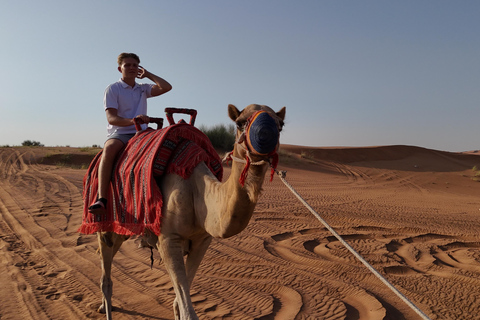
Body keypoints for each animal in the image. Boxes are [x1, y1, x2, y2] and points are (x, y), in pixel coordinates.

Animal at [95, 104, 286, 318]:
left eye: (281, 125)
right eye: (239, 122)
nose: (265, 134)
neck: (197, 191)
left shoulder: (202, 241)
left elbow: (179, 302)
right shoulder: (168, 239)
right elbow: (187, 309)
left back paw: (103, 306)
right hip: (105, 223)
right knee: (105, 274)